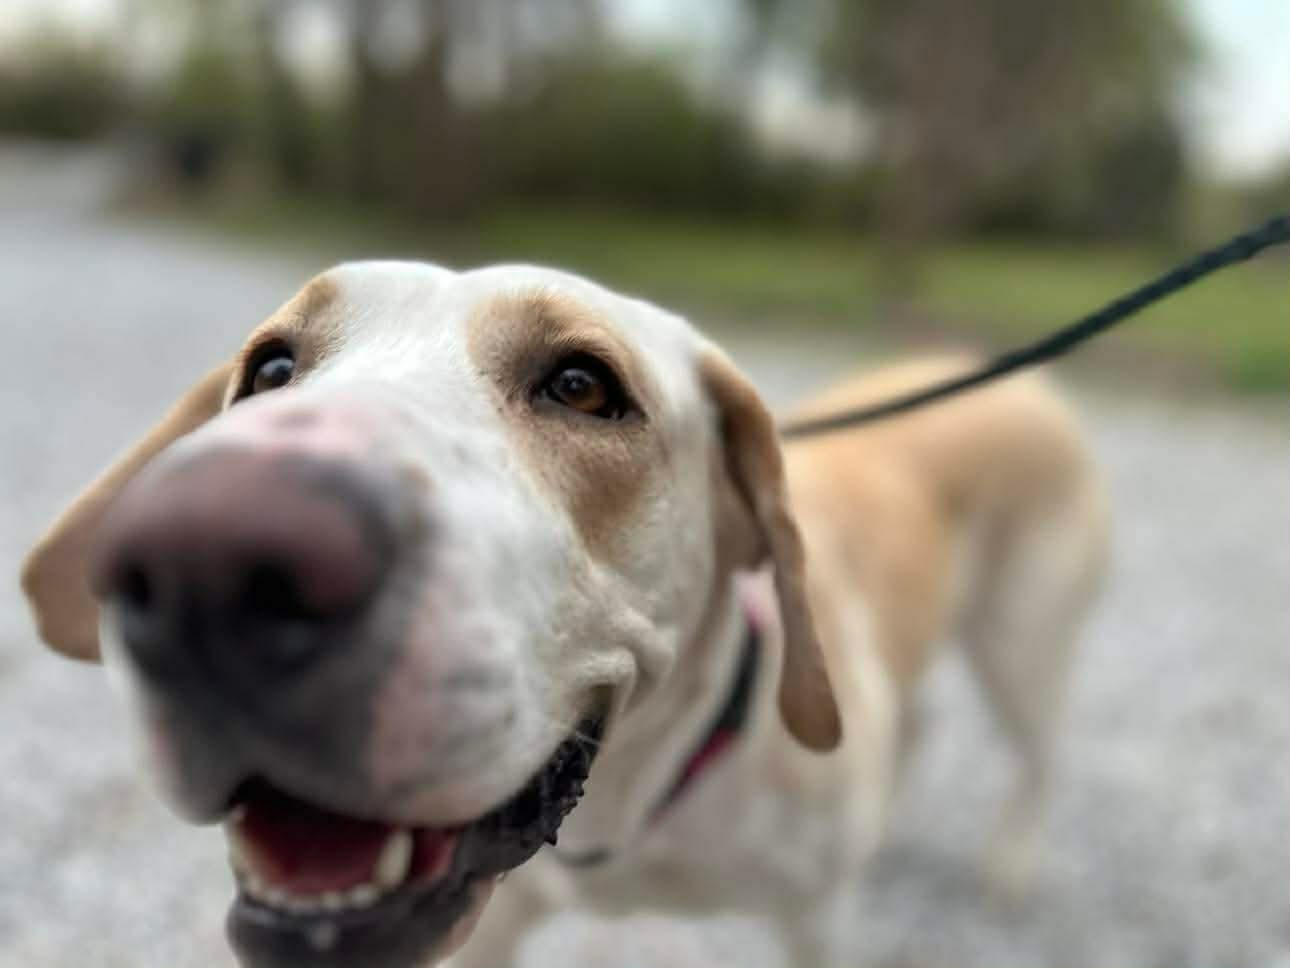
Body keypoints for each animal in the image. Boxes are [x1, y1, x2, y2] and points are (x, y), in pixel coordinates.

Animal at [22, 261, 1109, 968]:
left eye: (583, 386)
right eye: (272, 370)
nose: (202, 559)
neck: (631, 819)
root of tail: (1009, 375)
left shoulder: (815, 926)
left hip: (1023, 645)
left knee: (1041, 756)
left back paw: (1011, 860)